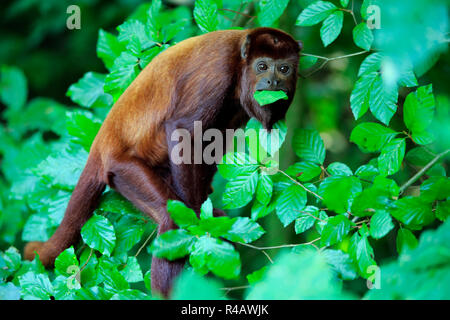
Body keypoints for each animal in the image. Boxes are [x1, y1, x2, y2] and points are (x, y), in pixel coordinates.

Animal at [22, 27, 300, 298]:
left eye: (284, 69)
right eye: (262, 66)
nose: (273, 82)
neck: (240, 59)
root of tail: (101, 144)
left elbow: (214, 141)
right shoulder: (219, 71)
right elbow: (183, 130)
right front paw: (197, 217)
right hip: (123, 170)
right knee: (169, 219)